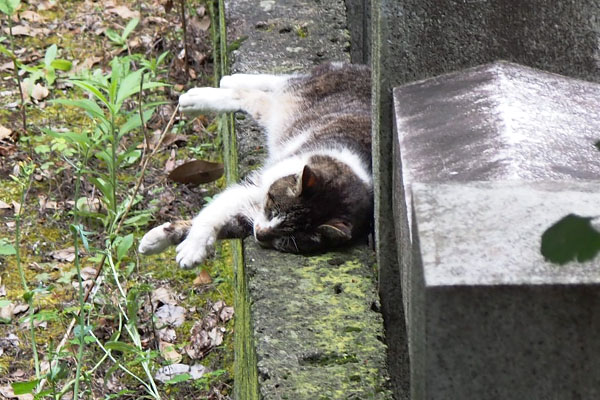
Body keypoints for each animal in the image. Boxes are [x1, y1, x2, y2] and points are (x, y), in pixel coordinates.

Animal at [138, 62, 372, 268]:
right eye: (271, 210)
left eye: (288, 240)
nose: (259, 234)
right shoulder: (258, 185)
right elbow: (213, 213)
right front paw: (191, 247)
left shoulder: (251, 216)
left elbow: (228, 224)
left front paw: (159, 240)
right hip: (297, 96)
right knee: (267, 88)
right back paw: (212, 90)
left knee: (263, 96)